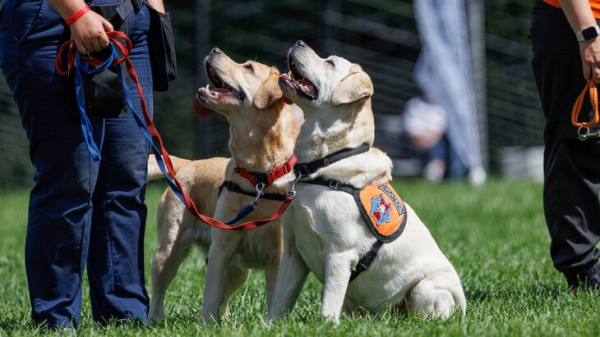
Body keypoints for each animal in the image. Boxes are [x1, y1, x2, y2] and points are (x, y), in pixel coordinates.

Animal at [148, 48, 298, 322]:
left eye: (249, 67)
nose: (214, 50)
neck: (259, 176)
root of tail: (188, 163)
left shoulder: (279, 255)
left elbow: (275, 297)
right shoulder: (221, 249)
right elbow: (210, 296)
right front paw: (206, 325)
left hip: (239, 270)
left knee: (225, 299)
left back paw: (226, 321)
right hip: (169, 248)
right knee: (159, 290)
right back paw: (154, 320)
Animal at [270, 40, 466, 322]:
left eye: (330, 62)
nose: (299, 42)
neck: (325, 161)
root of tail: (464, 304)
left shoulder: (339, 255)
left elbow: (328, 305)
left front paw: (325, 326)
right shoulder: (294, 253)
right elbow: (280, 300)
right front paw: (270, 325)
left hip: (424, 288)